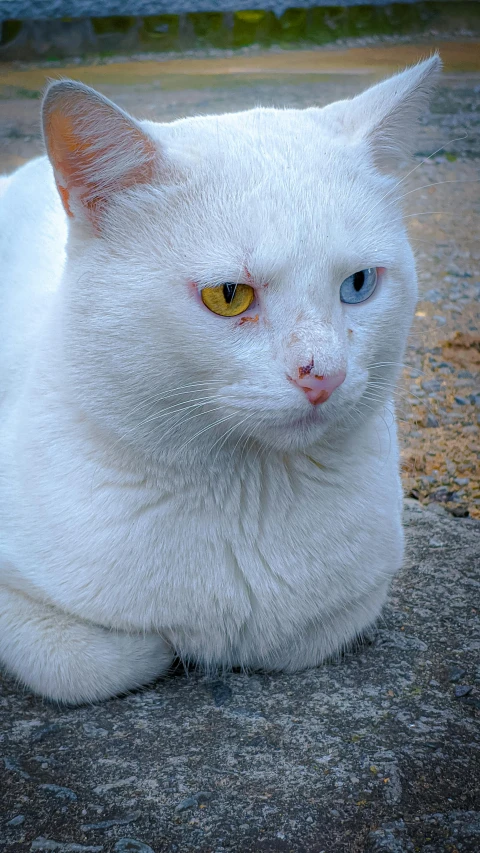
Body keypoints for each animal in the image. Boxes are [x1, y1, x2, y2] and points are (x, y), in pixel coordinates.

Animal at [0, 56, 440, 704]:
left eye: (359, 284)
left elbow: (300, 634)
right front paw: (167, 644)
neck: (246, 495)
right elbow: (86, 662)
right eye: (228, 295)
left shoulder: (360, 591)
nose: (324, 375)